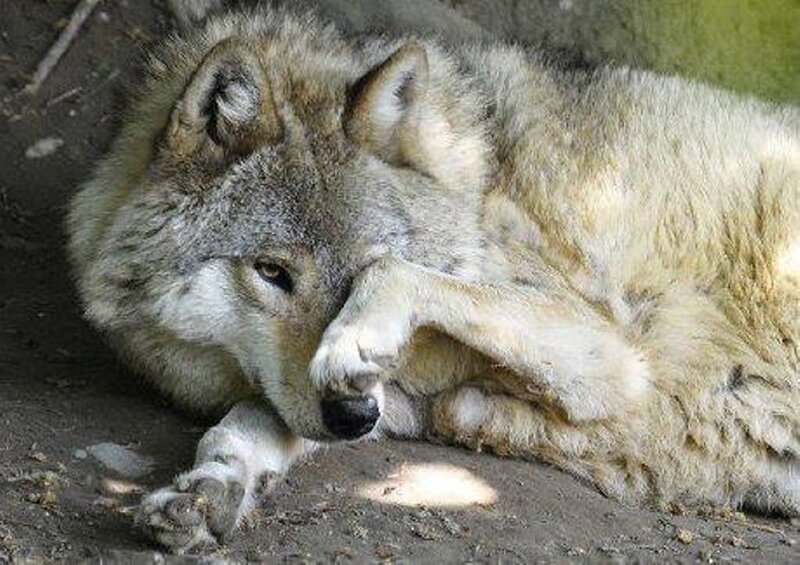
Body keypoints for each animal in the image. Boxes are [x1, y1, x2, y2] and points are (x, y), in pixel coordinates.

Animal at [67, 2, 799, 553]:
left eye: (359, 268)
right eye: (273, 272)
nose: (353, 414)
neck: (472, 192)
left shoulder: (614, 355)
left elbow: (409, 281)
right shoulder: (342, 400)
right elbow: (242, 425)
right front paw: (205, 492)